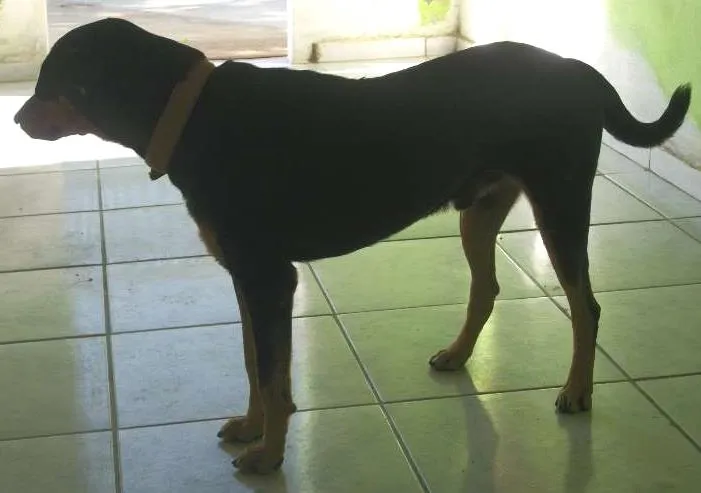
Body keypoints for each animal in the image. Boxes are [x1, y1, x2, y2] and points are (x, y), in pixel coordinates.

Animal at [14, 18, 691, 474]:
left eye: (53, 83)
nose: (18, 119)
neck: (191, 116)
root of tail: (577, 69)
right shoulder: (246, 277)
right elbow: (256, 365)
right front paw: (253, 428)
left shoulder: (269, 278)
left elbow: (275, 378)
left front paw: (269, 456)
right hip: (479, 209)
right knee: (489, 286)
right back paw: (458, 354)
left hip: (560, 202)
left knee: (586, 306)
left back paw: (577, 390)